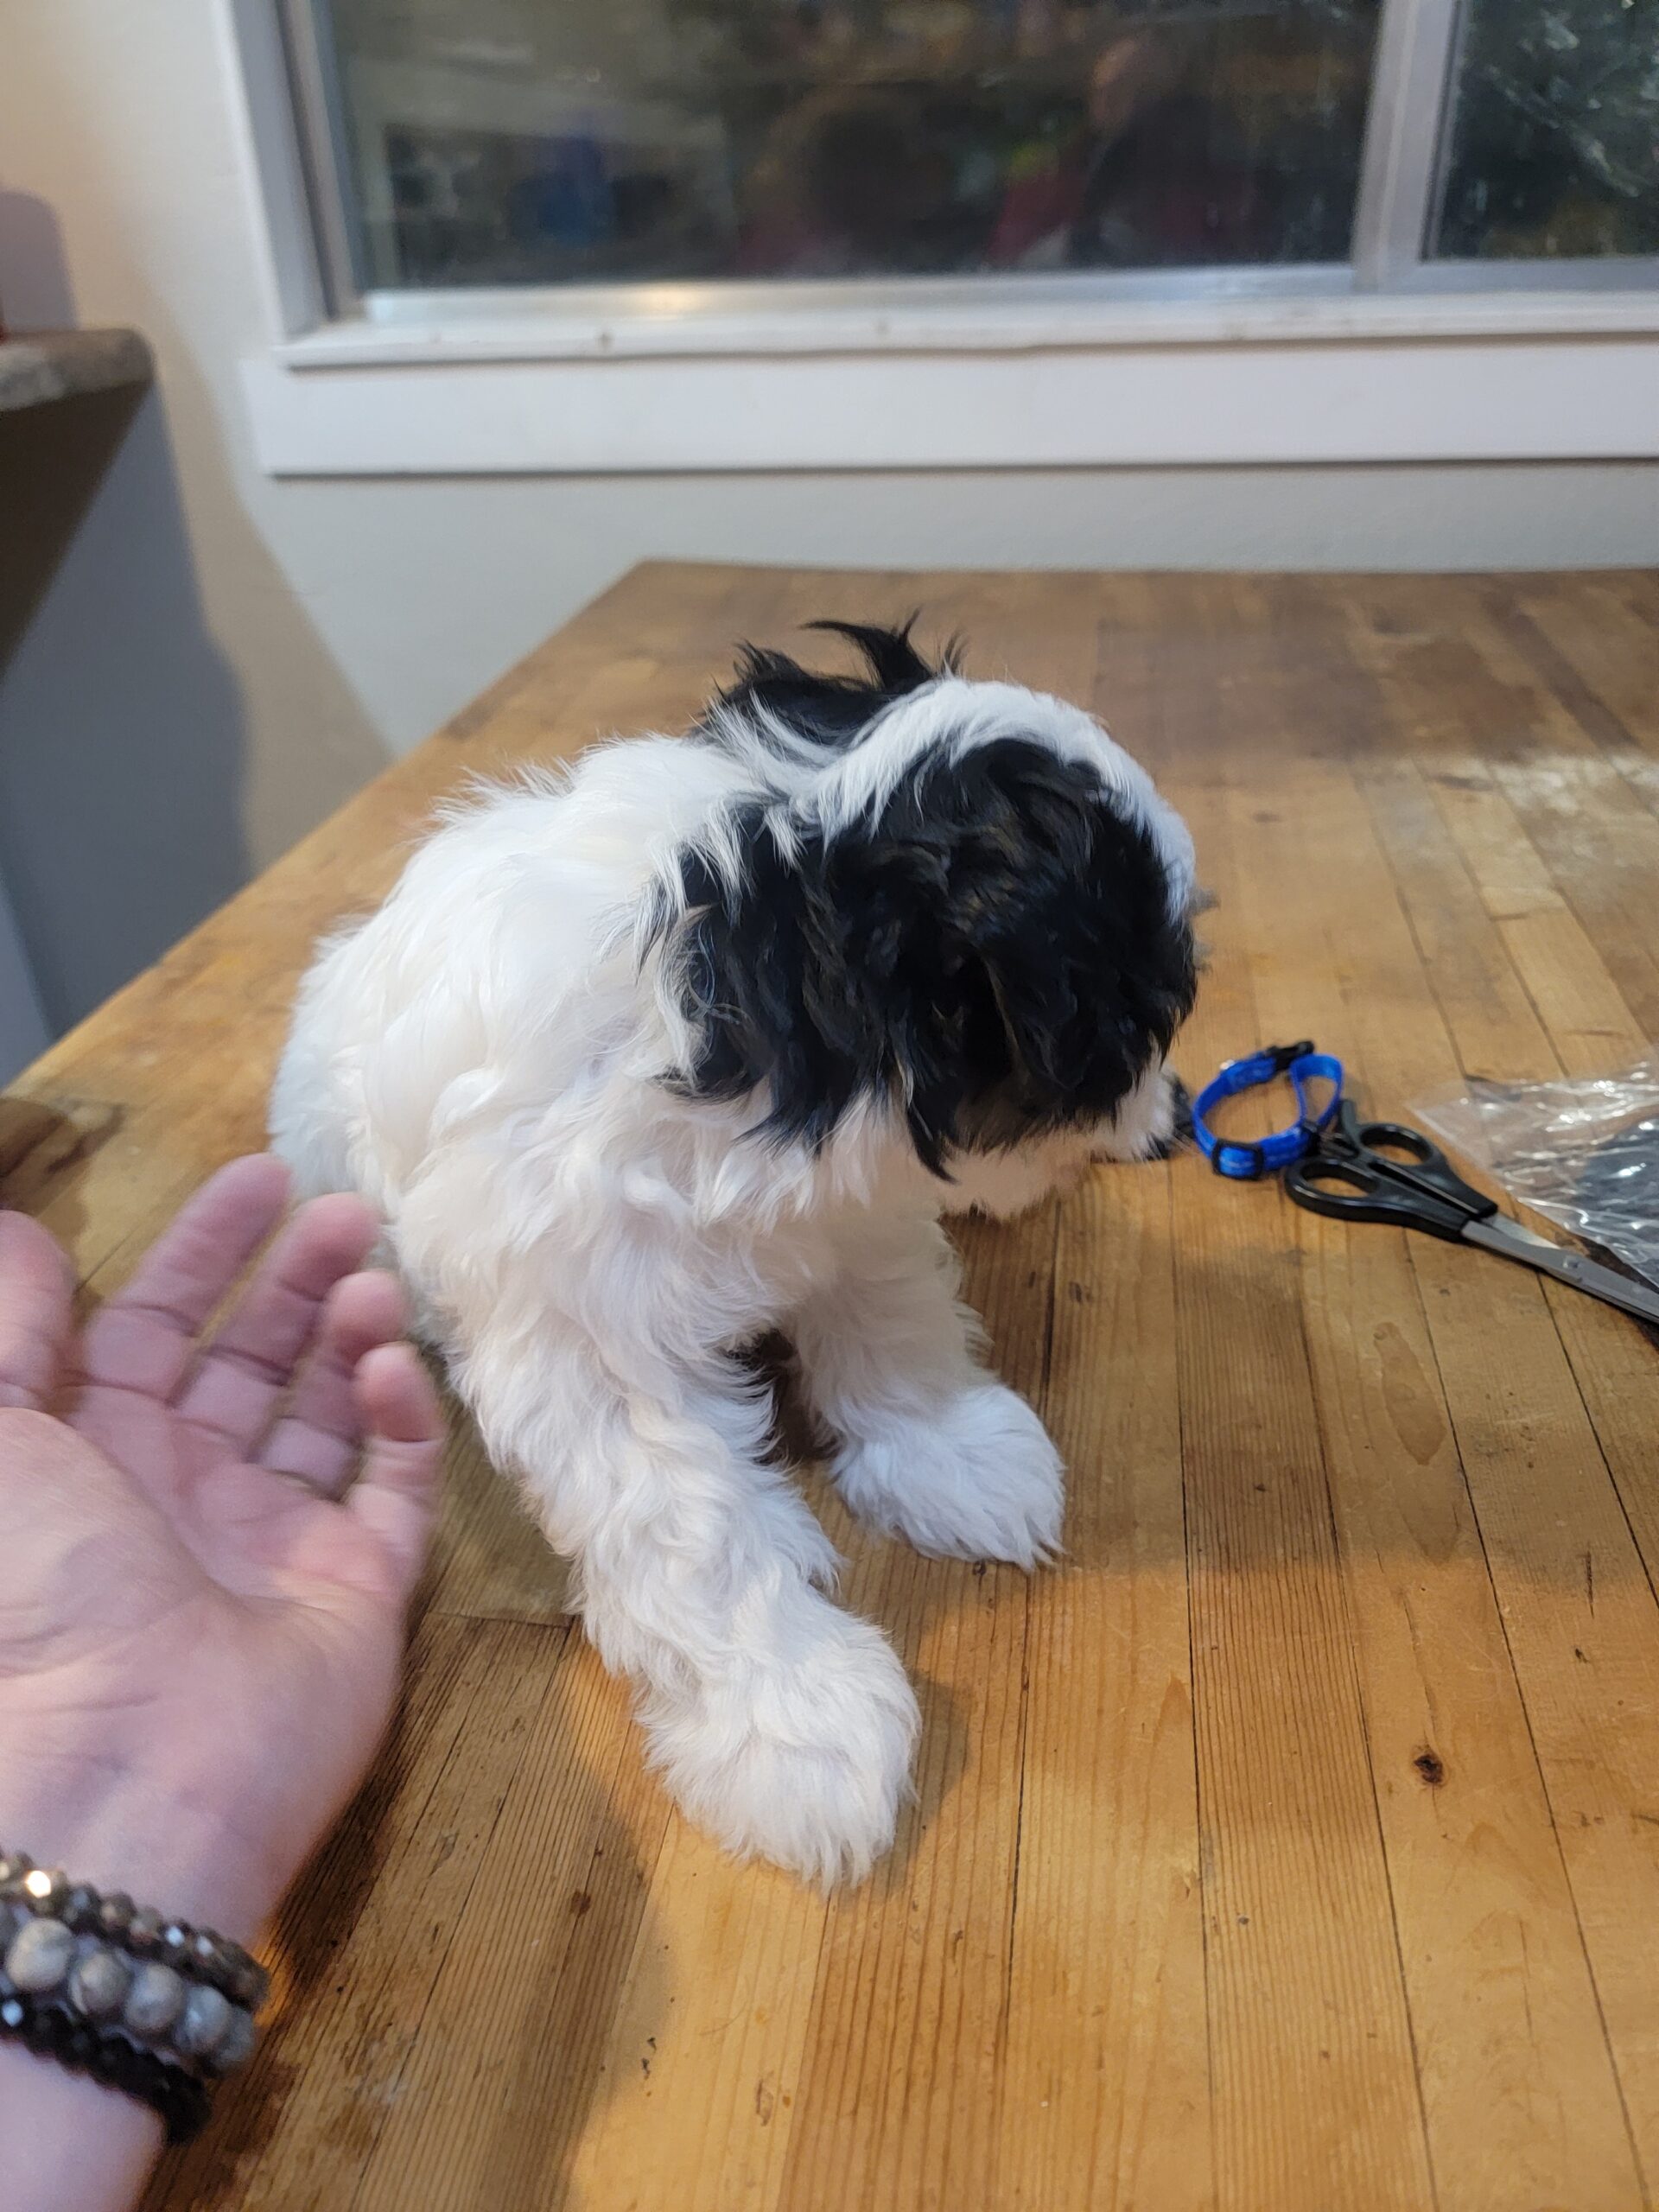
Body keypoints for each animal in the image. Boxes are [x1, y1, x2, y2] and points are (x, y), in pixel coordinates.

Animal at [279, 623, 1203, 1885]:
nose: (1173, 1108)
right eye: (1141, 1011)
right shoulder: (588, 1328)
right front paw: (798, 1725)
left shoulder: (855, 1213)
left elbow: (892, 1319)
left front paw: (948, 1451)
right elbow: (690, 1531)